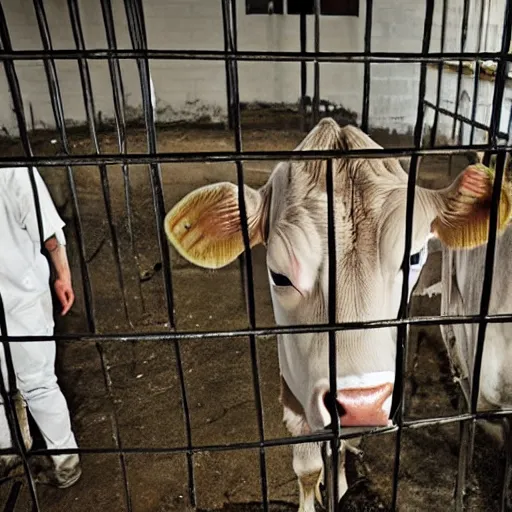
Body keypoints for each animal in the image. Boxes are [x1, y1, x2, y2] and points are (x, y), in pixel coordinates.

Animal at [164, 118, 512, 510]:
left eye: (414, 257)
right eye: (279, 275)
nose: (362, 403)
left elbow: (346, 447)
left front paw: (343, 487)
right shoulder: (293, 396)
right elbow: (307, 467)